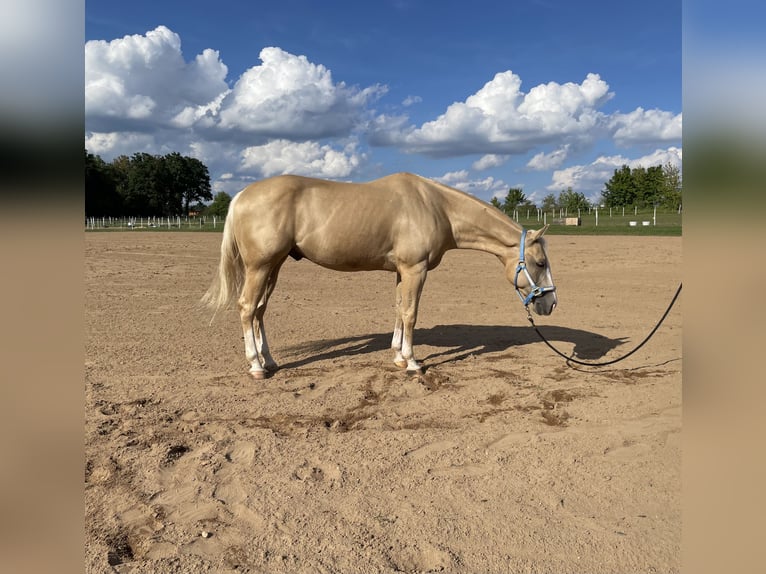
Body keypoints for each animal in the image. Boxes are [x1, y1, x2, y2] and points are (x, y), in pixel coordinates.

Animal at [202, 172, 557, 379]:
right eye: (540, 263)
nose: (550, 304)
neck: (436, 206)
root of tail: (241, 196)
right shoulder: (415, 269)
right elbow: (411, 313)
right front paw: (412, 363)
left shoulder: (403, 271)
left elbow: (399, 310)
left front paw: (398, 356)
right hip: (260, 267)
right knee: (247, 307)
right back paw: (256, 366)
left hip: (273, 267)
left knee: (259, 310)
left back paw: (270, 361)